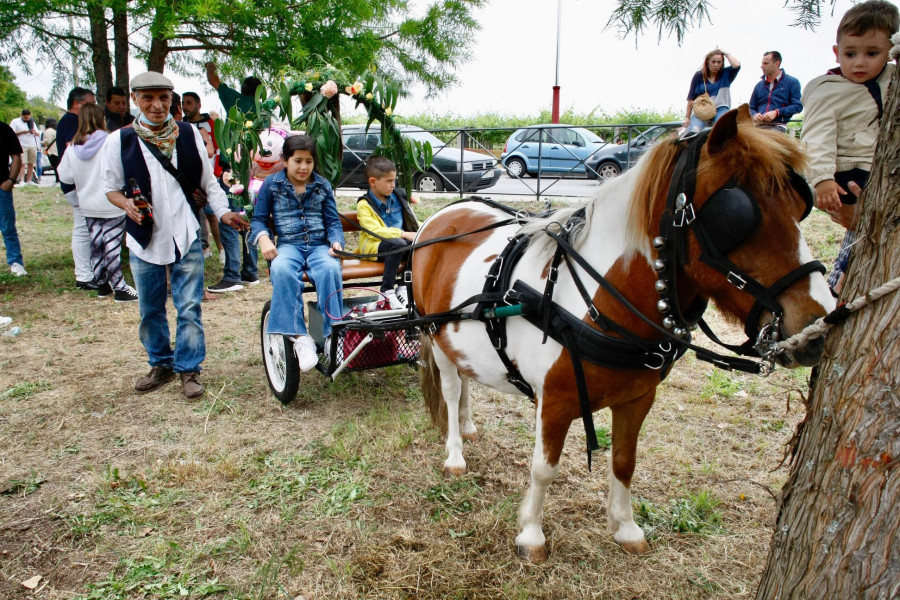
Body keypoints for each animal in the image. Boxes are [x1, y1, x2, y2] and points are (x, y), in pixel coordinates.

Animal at [412, 108, 832, 564]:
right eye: (736, 217)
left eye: (800, 206)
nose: (817, 325)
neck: (598, 300)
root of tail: (442, 216)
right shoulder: (555, 402)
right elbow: (544, 468)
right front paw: (531, 535)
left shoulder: (637, 397)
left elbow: (624, 461)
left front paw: (625, 526)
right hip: (435, 335)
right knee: (452, 389)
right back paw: (455, 452)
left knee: (466, 378)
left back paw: (468, 424)